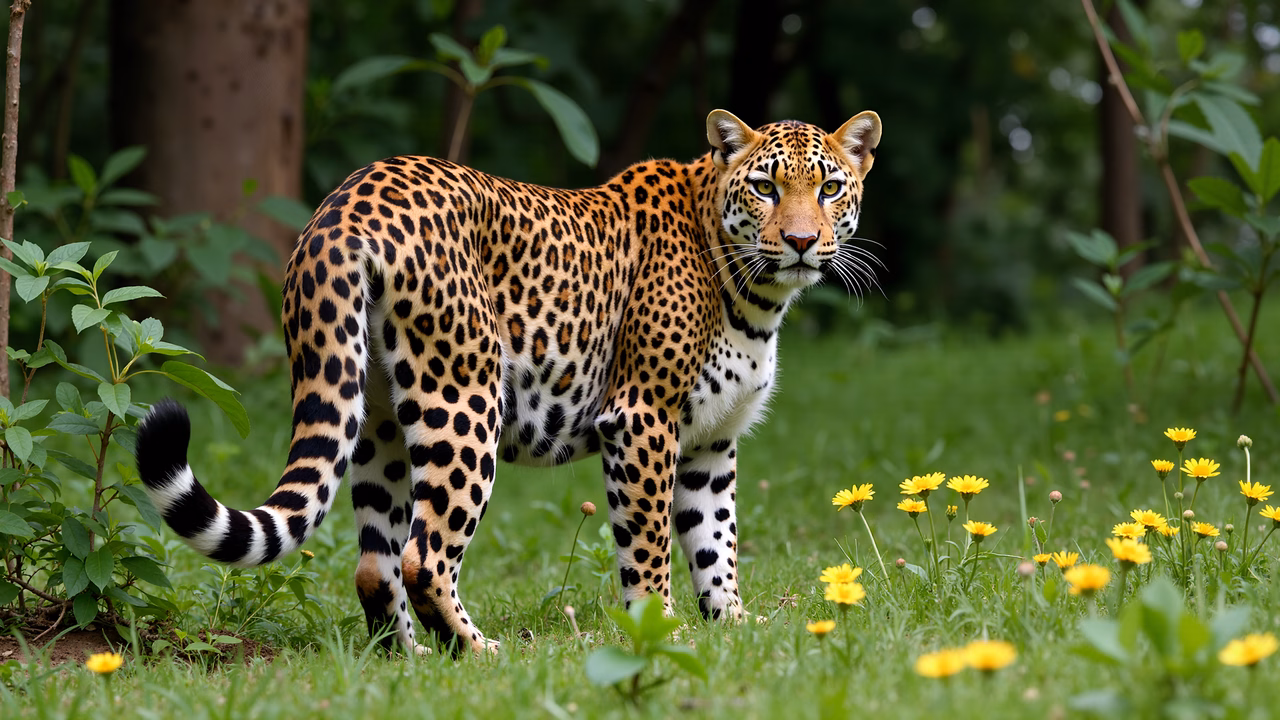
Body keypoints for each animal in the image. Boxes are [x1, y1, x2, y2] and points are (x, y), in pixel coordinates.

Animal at [135, 109, 883, 655]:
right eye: (765, 187)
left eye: (830, 188)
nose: (801, 242)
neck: (756, 297)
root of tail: (344, 205)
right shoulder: (642, 419)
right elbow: (648, 549)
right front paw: (658, 630)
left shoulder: (710, 443)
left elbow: (715, 543)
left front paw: (733, 627)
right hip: (464, 401)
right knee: (424, 556)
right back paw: (480, 653)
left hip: (374, 416)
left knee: (377, 561)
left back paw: (410, 662)